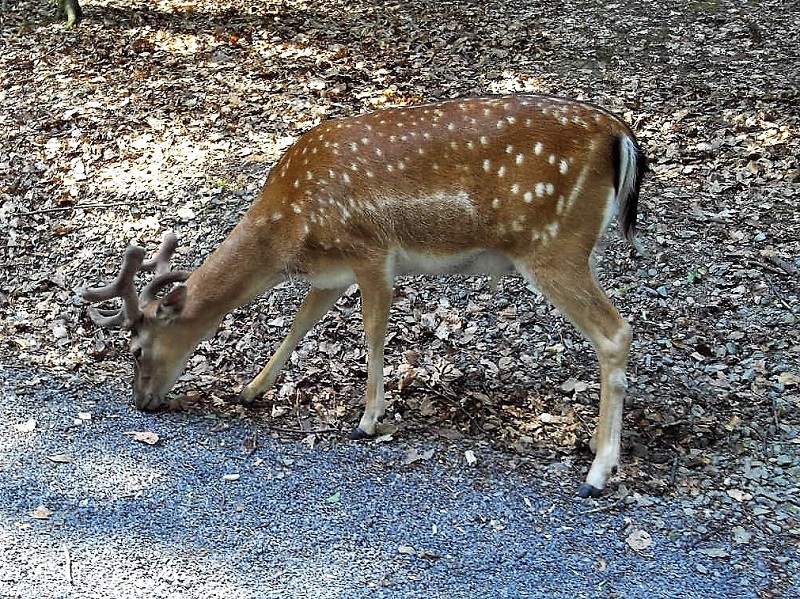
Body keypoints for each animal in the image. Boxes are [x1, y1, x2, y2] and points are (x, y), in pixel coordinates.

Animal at [78, 95, 648, 496]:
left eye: (136, 349)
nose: (141, 403)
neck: (289, 230)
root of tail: (620, 136)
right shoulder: (331, 274)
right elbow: (299, 325)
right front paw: (250, 389)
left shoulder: (371, 251)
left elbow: (373, 329)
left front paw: (367, 420)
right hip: (575, 248)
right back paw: (597, 445)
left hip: (553, 245)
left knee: (616, 331)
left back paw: (599, 470)